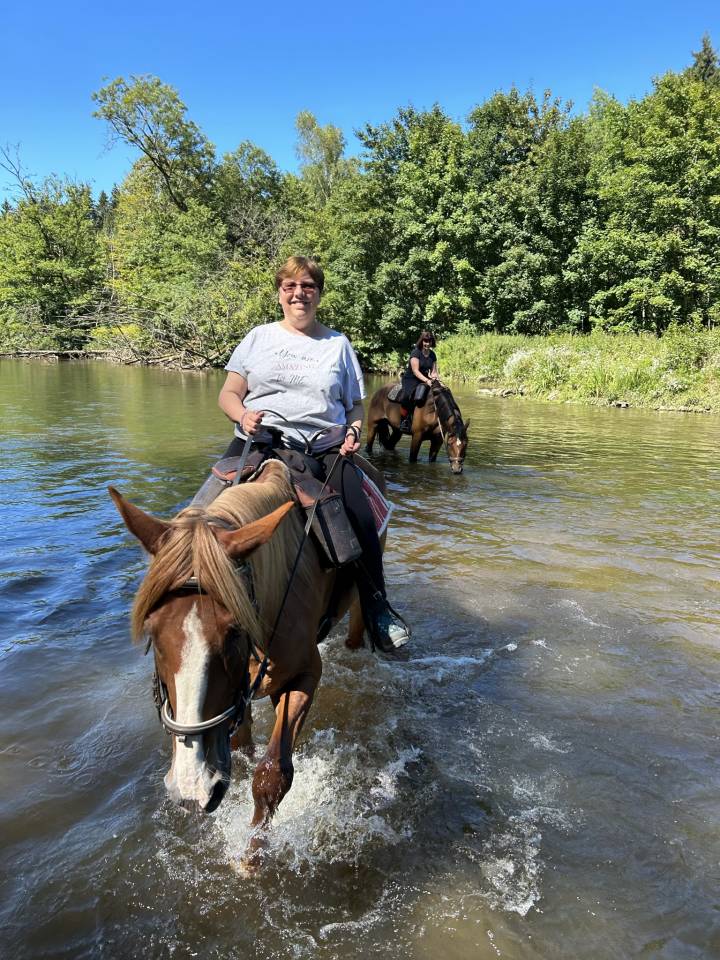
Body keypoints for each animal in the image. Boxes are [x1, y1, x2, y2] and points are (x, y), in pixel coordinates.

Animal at [109, 456, 383, 870]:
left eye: (235, 631)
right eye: (153, 633)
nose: (191, 786)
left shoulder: (305, 675)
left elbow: (273, 774)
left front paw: (252, 856)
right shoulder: (234, 701)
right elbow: (241, 750)